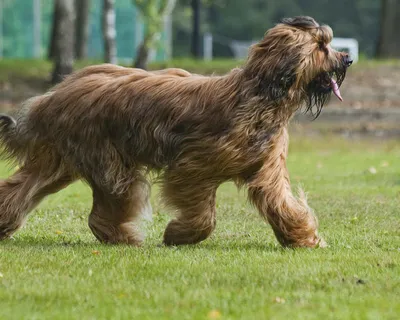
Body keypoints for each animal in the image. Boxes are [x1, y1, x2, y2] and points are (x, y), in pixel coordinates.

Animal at [0, 15, 350, 248]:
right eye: (321, 46)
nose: (347, 58)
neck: (261, 95)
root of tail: (54, 94)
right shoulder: (192, 167)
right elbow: (203, 214)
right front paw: (178, 235)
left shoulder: (267, 170)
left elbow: (282, 203)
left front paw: (304, 237)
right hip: (107, 161)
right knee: (106, 206)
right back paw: (124, 237)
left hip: (62, 159)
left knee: (21, 188)